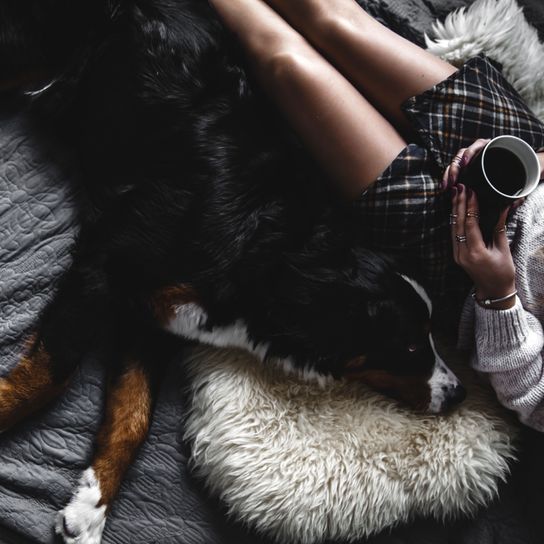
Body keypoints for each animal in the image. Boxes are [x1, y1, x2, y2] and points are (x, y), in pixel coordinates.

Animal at [1, 0, 464, 540]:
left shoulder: (153, 316)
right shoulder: (107, 259)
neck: (269, 253)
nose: (457, 392)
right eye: (410, 346)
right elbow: (49, 374)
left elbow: (133, 416)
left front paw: (90, 508)